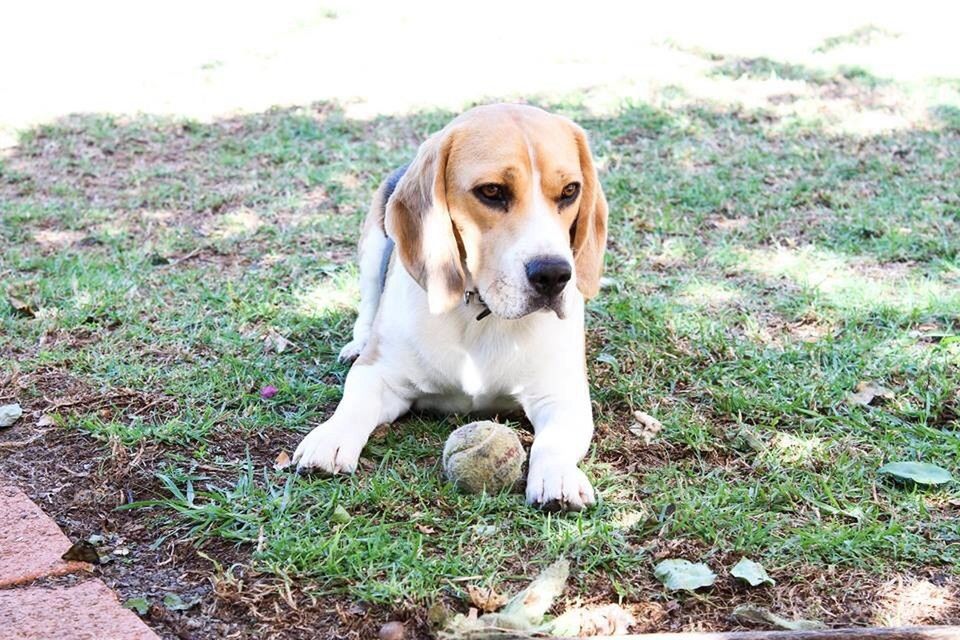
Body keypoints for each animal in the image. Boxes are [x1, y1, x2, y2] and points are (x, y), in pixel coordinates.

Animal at [292, 106, 608, 516]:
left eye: (570, 191)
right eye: (491, 191)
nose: (554, 275)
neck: (480, 313)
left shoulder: (562, 395)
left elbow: (553, 442)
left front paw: (558, 475)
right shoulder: (380, 375)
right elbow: (355, 402)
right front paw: (330, 438)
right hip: (374, 245)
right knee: (367, 303)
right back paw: (356, 343)